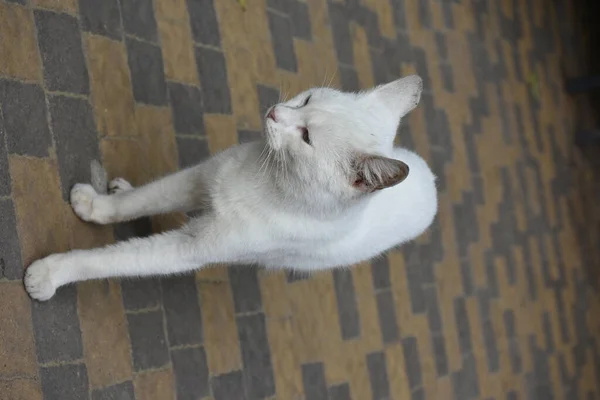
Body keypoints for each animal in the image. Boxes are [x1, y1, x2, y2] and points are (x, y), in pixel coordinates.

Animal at [24, 76, 436, 300]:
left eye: (306, 136)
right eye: (305, 100)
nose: (274, 112)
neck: (270, 179)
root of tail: (430, 181)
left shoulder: (189, 248)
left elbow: (112, 260)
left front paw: (48, 274)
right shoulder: (197, 179)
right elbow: (140, 201)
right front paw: (95, 207)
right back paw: (118, 188)